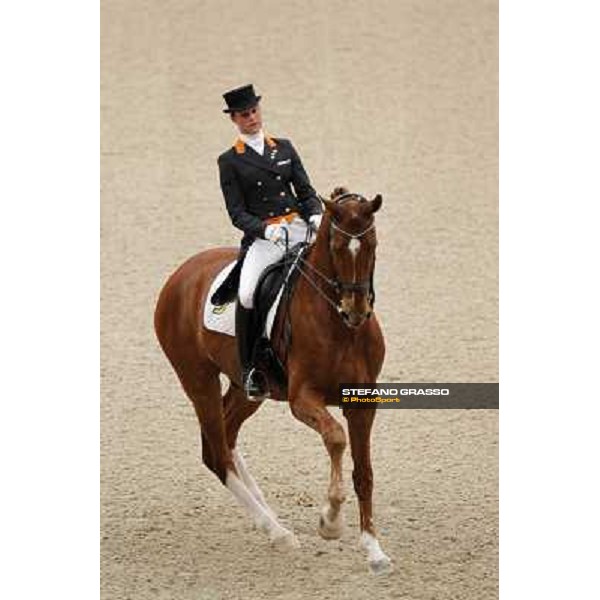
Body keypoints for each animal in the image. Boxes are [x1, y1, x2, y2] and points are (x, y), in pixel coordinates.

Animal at [152, 188, 392, 572]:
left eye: (372, 243)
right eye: (337, 246)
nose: (355, 311)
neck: (339, 328)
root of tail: (181, 274)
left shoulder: (362, 402)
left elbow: (364, 473)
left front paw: (374, 550)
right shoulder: (302, 399)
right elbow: (336, 439)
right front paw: (330, 521)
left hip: (246, 389)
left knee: (227, 437)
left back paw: (273, 522)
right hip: (198, 381)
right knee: (216, 453)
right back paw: (277, 532)